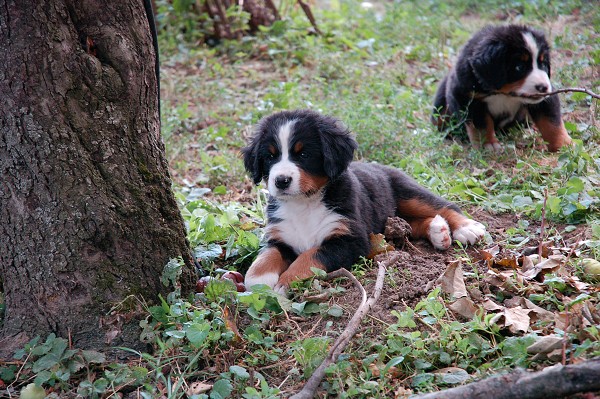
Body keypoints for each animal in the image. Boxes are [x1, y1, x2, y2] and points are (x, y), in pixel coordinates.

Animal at [241, 109, 486, 294]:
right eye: (270, 156)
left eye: (303, 155)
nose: (281, 181)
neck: (304, 203)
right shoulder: (281, 235)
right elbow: (268, 255)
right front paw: (258, 280)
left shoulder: (351, 240)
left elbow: (309, 257)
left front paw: (284, 282)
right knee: (412, 224)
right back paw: (438, 231)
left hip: (407, 192)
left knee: (444, 206)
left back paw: (467, 228)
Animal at [432, 25, 572, 152]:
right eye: (519, 67)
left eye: (543, 64)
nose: (543, 87)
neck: (503, 92)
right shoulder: (467, 97)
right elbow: (481, 125)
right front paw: (488, 145)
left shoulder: (546, 98)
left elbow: (551, 122)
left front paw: (563, 145)